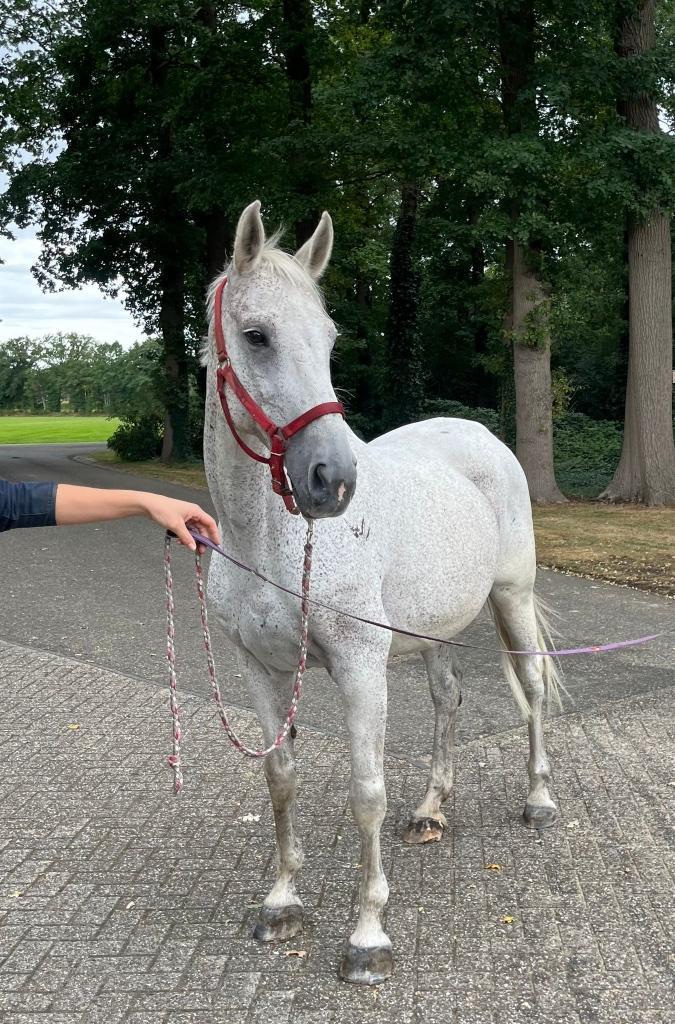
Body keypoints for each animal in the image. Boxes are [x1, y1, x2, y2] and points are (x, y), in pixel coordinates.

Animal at [201, 200, 561, 985]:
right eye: (256, 335)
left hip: (512, 600)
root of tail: (481, 437)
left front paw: (368, 936)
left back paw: (539, 799)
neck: (267, 540)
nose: (331, 479)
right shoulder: (259, 668)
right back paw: (431, 810)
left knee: (532, 691)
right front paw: (282, 902)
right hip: (435, 631)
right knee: (448, 700)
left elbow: (366, 791)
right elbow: (279, 776)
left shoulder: (361, 666)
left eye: (330, 337)